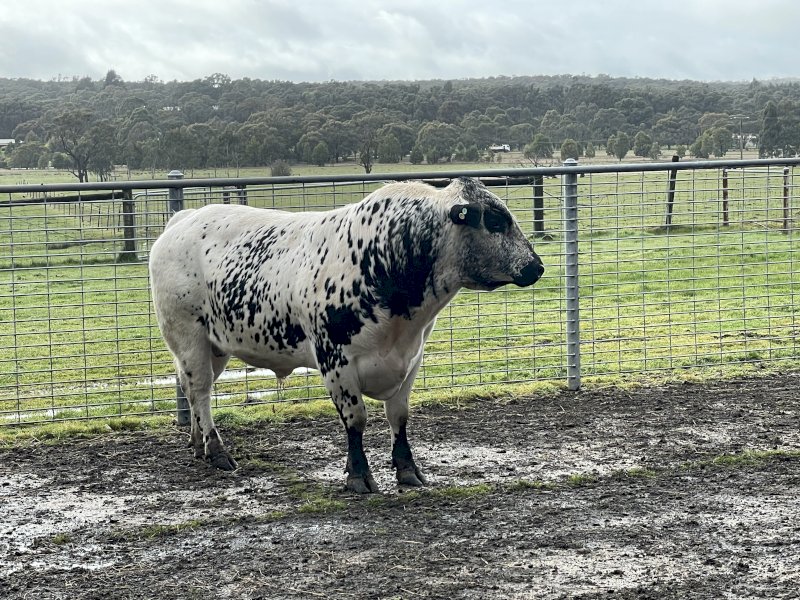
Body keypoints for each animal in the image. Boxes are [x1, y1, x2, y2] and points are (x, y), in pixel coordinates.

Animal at [149, 177, 544, 493]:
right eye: (495, 221)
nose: (536, 267)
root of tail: (183, 220)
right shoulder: (335, 361)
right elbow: (356, 420)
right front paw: (358, 475)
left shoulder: (411, 359)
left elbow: (399, 417)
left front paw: (408, 470)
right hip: (188, 337)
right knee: (200, 391)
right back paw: (216, 450)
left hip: (215, 346)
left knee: (192, 391)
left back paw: (197, 444)